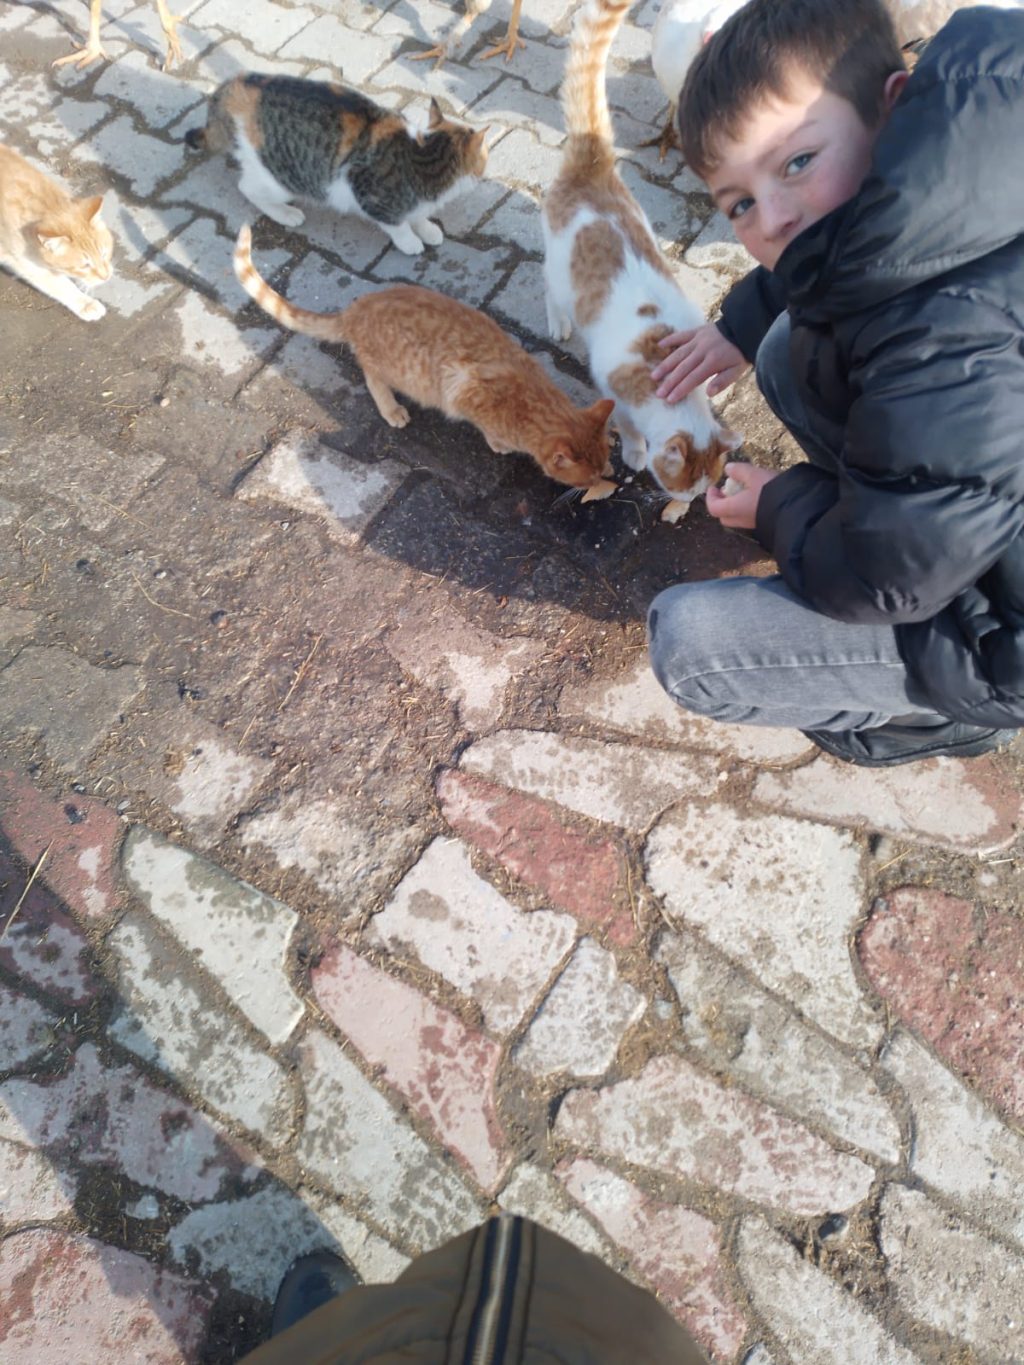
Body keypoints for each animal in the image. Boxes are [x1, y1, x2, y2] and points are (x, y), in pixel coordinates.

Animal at [0, 144, 113, 322]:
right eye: (85, 265)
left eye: (103, 254)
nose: (106, 276)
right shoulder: (26, 262)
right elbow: (61, 285)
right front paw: (85, 303)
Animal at [189, 75, 494, 256]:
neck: (422, 154)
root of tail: (227, 91)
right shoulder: (368, 194)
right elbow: (397, 224)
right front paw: (409, 241)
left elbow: (417, 215)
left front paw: (427, 227)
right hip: (281, 178)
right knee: (247, 187)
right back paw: (285, 213)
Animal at [233, 226, 617, 499]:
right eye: (589, 476)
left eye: (602, 468)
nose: (601, 481)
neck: (531, 400)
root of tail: (356, 308)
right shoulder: (465, 394)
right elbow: (487, 429)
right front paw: (499, 444)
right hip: (388, 367)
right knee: (372, 377)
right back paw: (391, 409)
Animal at [540, 0, 742, 521]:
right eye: (680, 484)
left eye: (702, 488)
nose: (686, 506)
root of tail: (592, 166)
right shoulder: (614, 393)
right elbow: (629, 428)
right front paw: (633, 452)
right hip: (558, 268)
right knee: (552, 292)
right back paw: (558, 324)